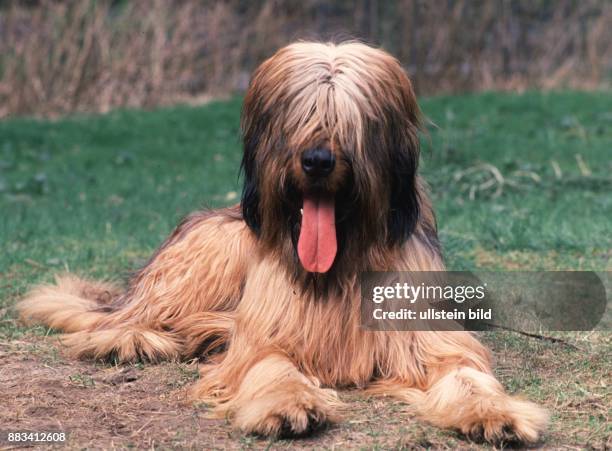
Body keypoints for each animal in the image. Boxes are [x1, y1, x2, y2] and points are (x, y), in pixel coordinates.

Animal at [19, 40, 548, 444]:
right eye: (301, 115)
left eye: (348, 120)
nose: (316, 161)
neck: (340, 264)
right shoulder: (267, 331)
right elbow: (271, 364)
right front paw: (286, 406)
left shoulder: (426, 336)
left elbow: (464, 372)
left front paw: (496, 412)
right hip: (210, 252)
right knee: (125, 315)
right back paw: (130, 339)